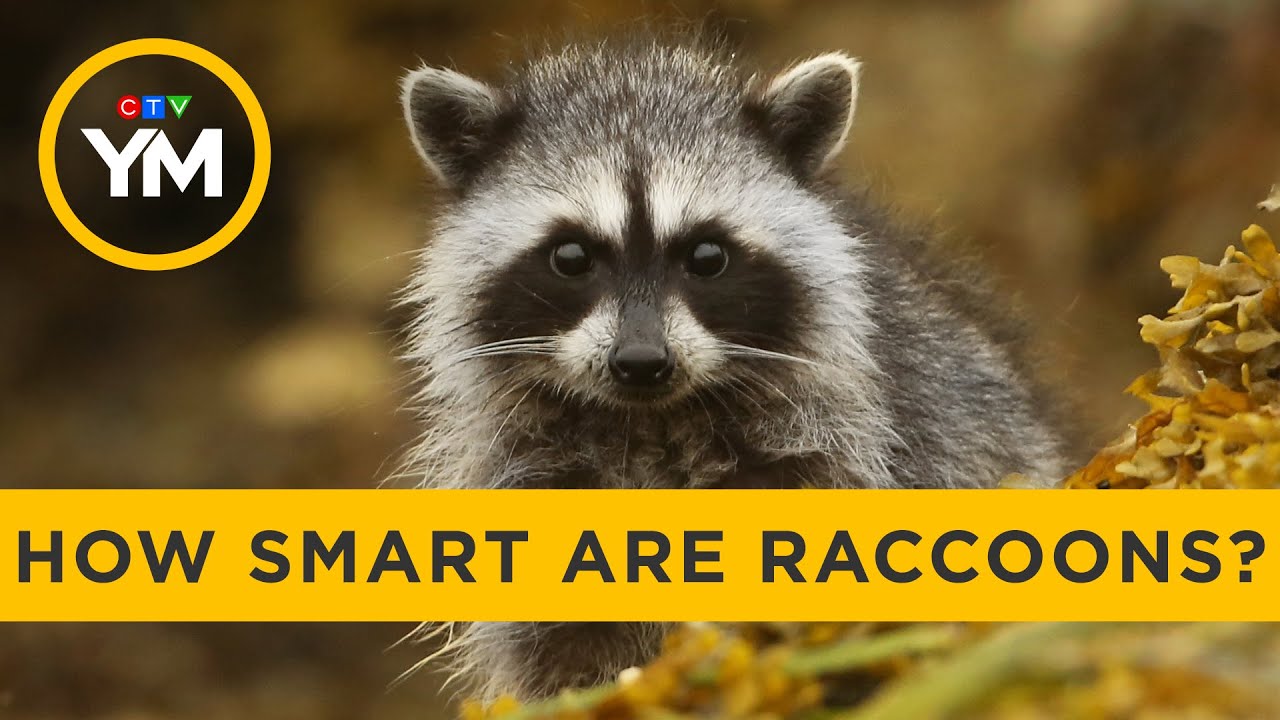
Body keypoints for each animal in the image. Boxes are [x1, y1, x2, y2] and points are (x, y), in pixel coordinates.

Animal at [397, 36, 1071, 700]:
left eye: (706, 256)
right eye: (571, 256)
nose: (641, 362)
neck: (650, 424)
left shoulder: (844, 445)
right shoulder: (532, 481)